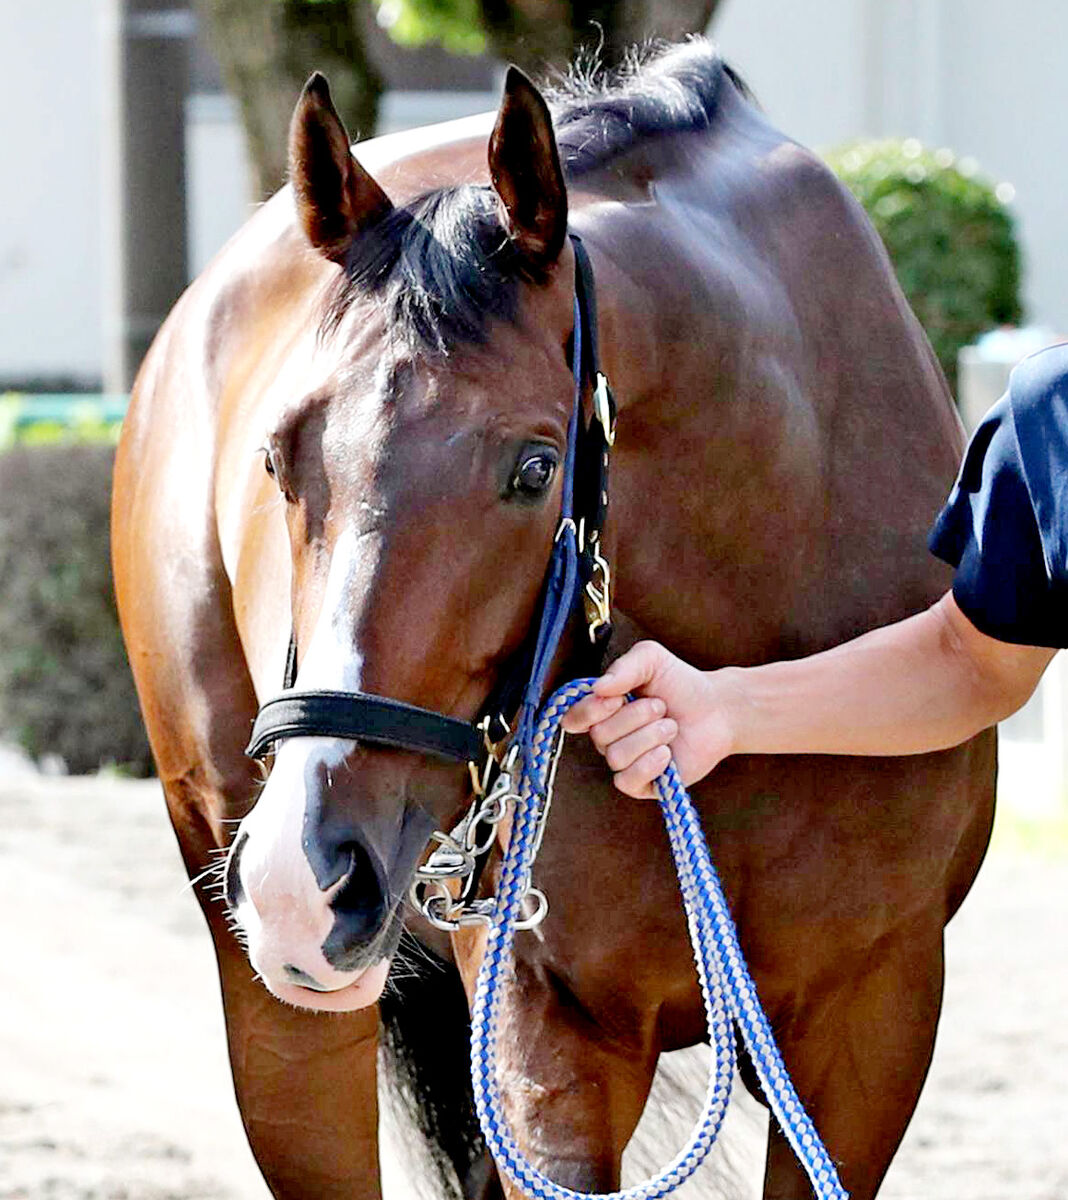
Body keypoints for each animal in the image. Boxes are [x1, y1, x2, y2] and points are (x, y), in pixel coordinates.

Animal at [112, 37, 993, 1200]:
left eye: (535, 470)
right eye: (277, 456)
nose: (303, 878)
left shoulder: (871, 1027)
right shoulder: (550, 1039)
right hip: (283, 1008)